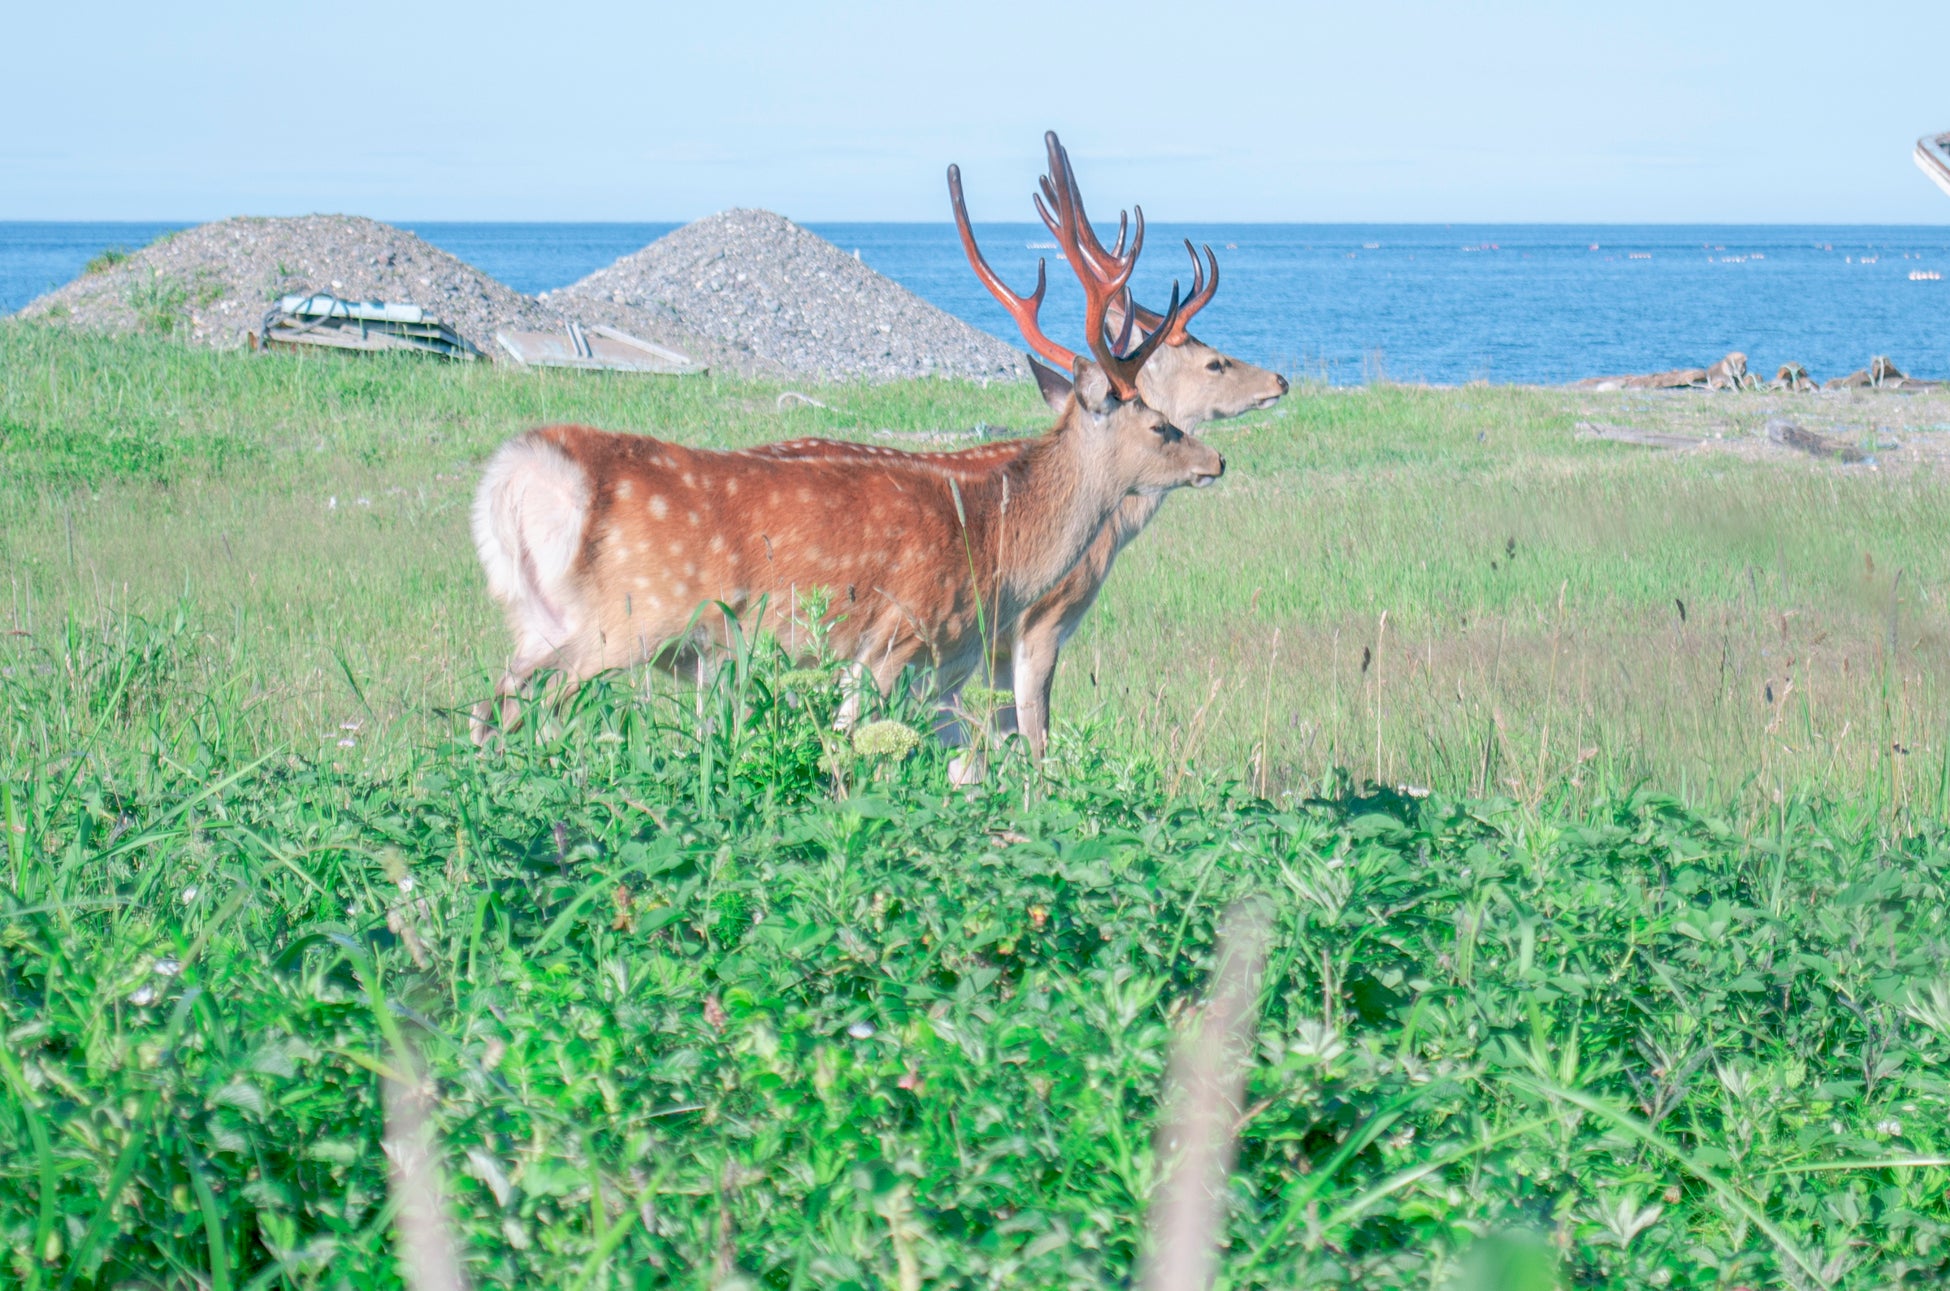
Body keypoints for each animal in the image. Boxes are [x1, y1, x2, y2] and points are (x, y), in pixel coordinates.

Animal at [469, 137, 1216, 748]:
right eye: (1160, 424)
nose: (1216, 459)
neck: (997, 542)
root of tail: (526, 471)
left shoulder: (939, 665)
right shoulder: (897, 638)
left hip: (536, 618)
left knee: (490, 708)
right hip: (626, 617)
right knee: (544, 712)